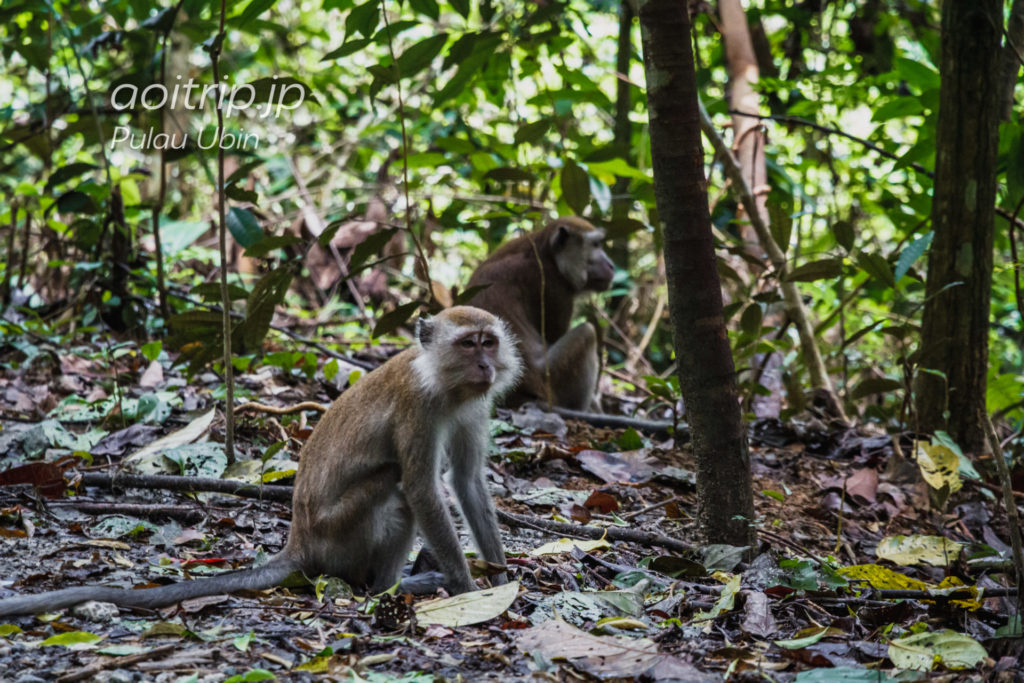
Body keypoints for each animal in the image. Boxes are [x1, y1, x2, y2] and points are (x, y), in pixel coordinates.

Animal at [0, 307, 520, 618]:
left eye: (488, 342)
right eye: (468, 344)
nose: (485, 366)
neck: (444, 383)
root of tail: (298, 542)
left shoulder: (474, 407)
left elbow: (468, 481)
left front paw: (501, 576)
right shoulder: (419, 406)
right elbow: (421, 488)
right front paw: (469, 587)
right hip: (339, 536)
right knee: (394, 488)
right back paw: (392, 588)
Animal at [466, 219, 614, 411]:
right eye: (595, 245)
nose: (611, 265)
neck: (545, 253)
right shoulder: (553, 287)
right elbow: (554, 334)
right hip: (552, 382)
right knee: (587, 332)